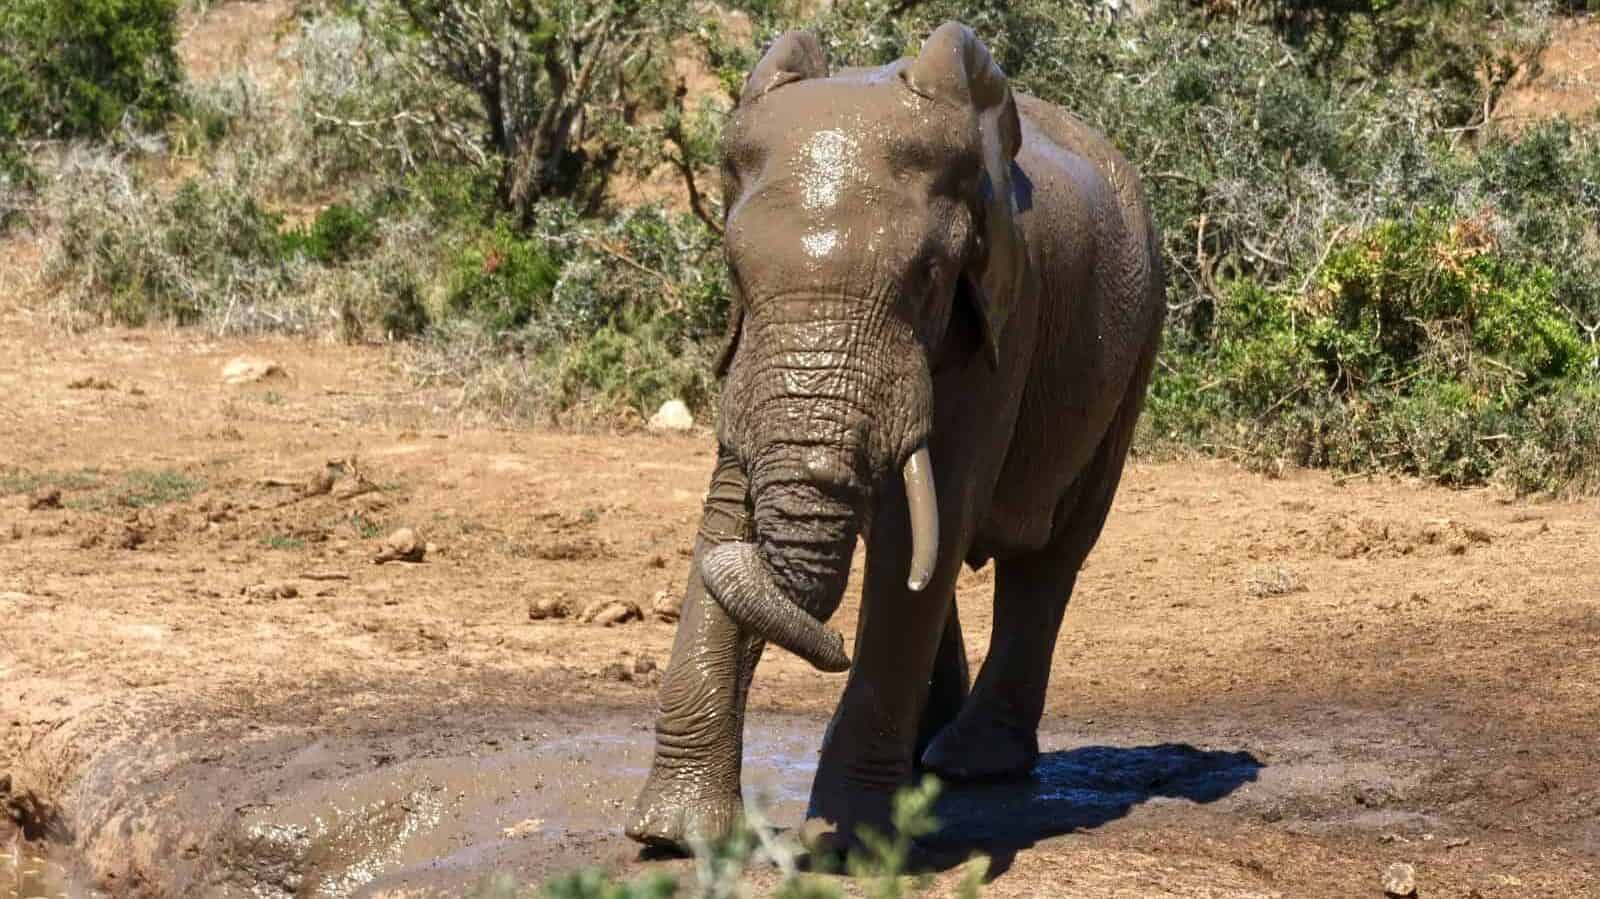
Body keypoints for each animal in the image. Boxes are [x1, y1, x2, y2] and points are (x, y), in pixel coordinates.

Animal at [627, 21, 1166, 853]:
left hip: (1138, 343)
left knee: (1050, 554)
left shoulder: (1007, 309)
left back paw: (969, 762)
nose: (833, 650)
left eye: (928, 275)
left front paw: (849, 843)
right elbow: (731, 507)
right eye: (735, 274)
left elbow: (927, 524)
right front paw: (676, 836)